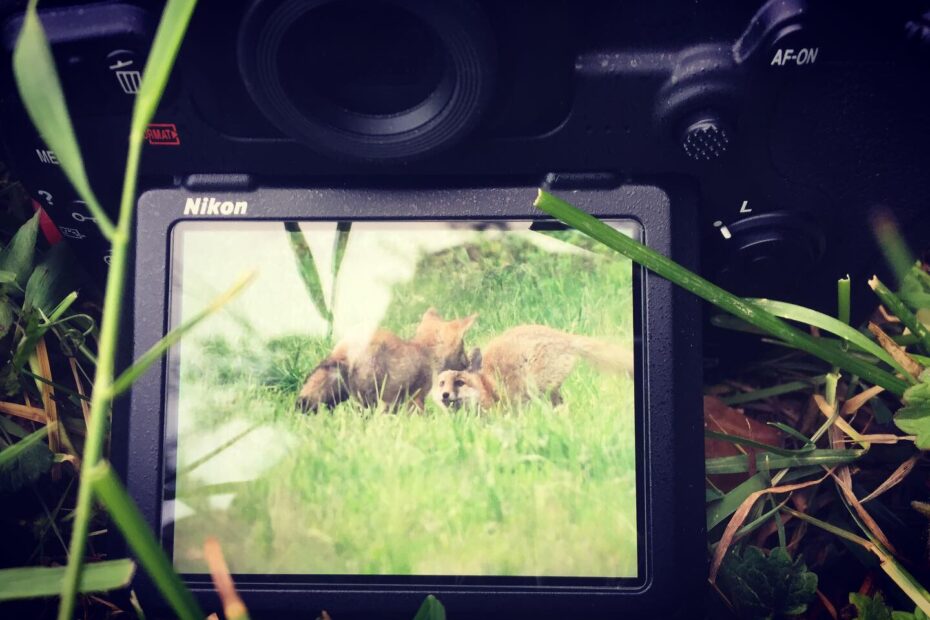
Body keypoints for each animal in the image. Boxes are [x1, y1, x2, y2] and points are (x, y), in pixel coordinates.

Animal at [296, 308, 477, 412]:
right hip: (368, 400)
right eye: (463, 347)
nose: (468, 364)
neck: (426, 352)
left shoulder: (395, 401)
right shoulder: (416, 397)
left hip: (340, 397)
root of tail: (343, 348)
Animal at [432, 324, 633, 410]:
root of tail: (564, 337)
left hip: (536, 388)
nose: (445, 395)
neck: (486, 387)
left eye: (459, 382)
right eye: (442, 384)